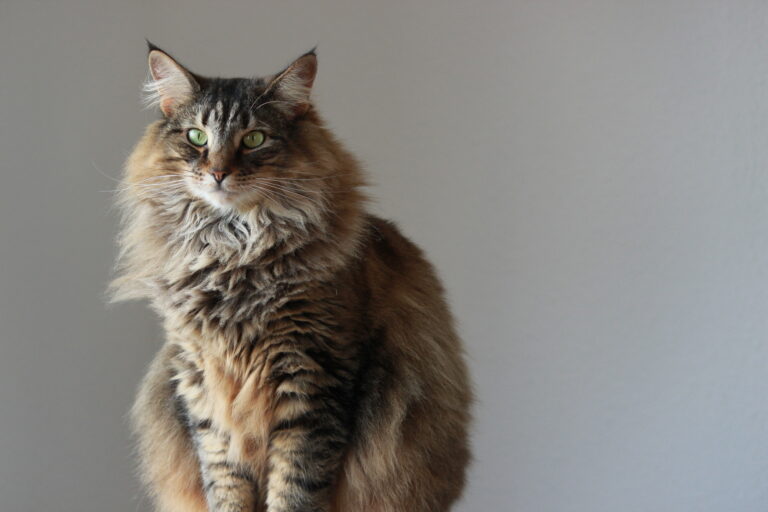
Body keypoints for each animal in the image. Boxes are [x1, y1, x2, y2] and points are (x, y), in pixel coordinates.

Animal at [112, 44, 474, 512]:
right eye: (196, 137)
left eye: (254, 139)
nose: (218, 173)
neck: (232, 255)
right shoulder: (204, 388)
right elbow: (225, 487)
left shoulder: (312, 384)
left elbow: (295, 490)